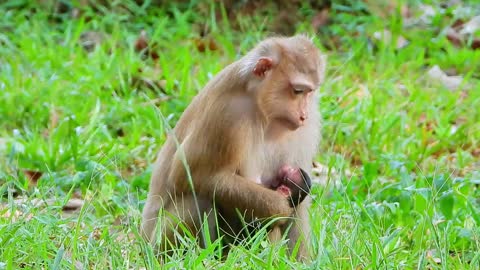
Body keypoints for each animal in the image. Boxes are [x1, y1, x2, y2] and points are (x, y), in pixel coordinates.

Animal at [140, 33, 326, 262]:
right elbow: (191, 175)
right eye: (297, 91)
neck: (261, 106)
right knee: (200, 198)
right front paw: (279, 207)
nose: (303, 115)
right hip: (160, 240)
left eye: (310, 93)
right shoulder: (228, 115)